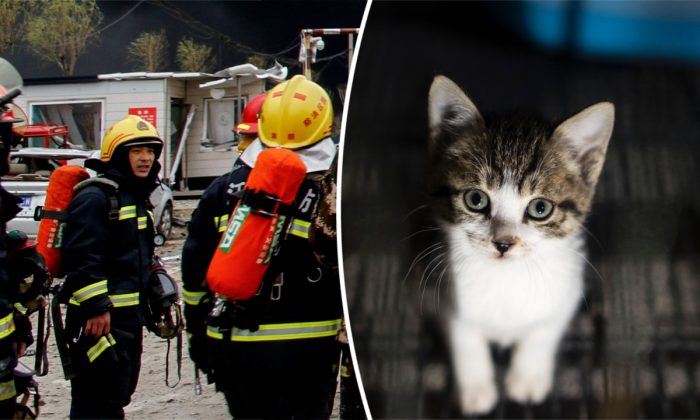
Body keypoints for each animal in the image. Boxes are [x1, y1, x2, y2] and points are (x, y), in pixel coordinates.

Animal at [426, 74, 612, 414]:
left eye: (540, 208)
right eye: (476, 199)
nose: (503, 243)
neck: (507, 279)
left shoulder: (567, 291)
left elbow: (544, 331)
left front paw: (527, 379)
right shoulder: (441, 292)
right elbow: (464, 336)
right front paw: (475, 388)